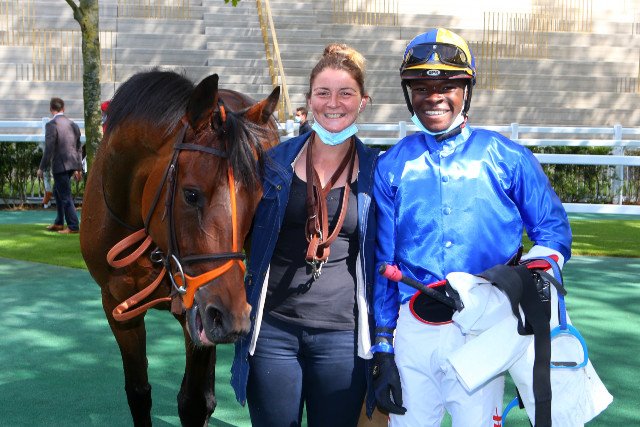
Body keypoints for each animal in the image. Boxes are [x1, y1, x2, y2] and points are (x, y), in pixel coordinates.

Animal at [80, 69, 280, 426]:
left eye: (259, 201)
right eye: (191, 194)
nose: (231, 316)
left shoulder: (200, 306)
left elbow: (194, 402)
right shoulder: (117, 305)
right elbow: (138, 391)